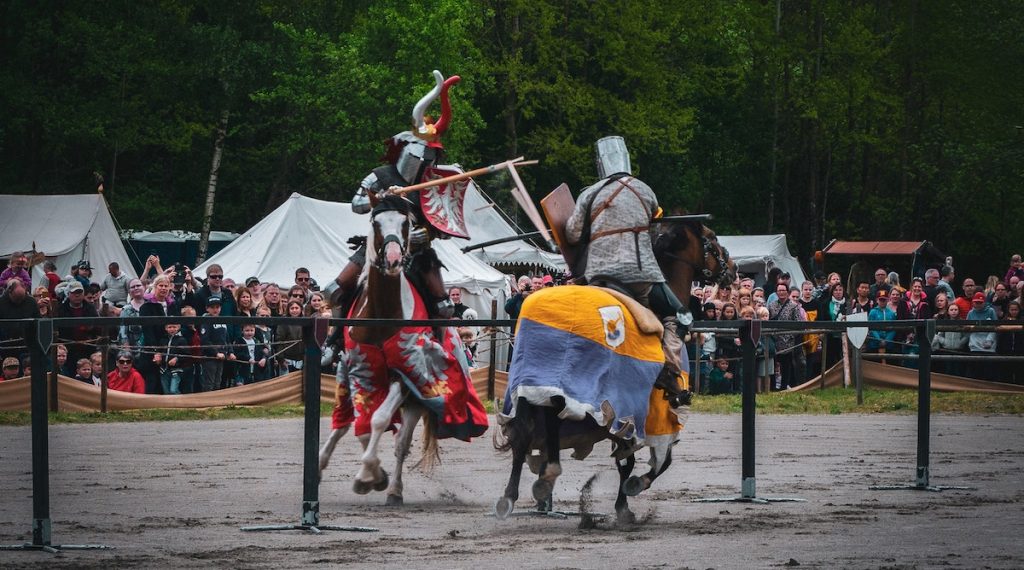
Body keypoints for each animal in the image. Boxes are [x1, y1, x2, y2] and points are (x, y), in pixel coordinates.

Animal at [497, 220, 733, 521]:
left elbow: (631, 459)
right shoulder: (634, 411)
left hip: (533, 387)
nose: (733, 269)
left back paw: (514, 494)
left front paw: (624, 503)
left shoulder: (619, 417)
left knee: (526, 434)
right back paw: (543, 478)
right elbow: (653, 459)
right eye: (712, 240)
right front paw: (631, 493)